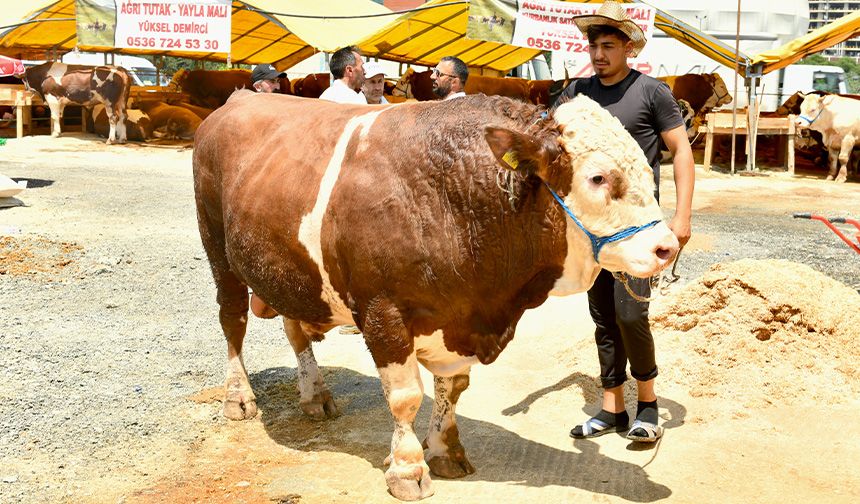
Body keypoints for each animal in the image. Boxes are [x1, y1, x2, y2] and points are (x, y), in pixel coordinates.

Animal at [193, 91, 680, 500]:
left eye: (646, 166)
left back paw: (314, 394)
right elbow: (405, 396)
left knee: (295, 329)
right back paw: (239, 398)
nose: (667, 247)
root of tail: (238, 97)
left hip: (290, 269)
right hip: (218, 248)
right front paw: (407, 468)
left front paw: (446, 450)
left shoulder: (459, 315)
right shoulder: (382, 311)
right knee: (232, 320)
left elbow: (453, 387)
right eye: (598, 177)